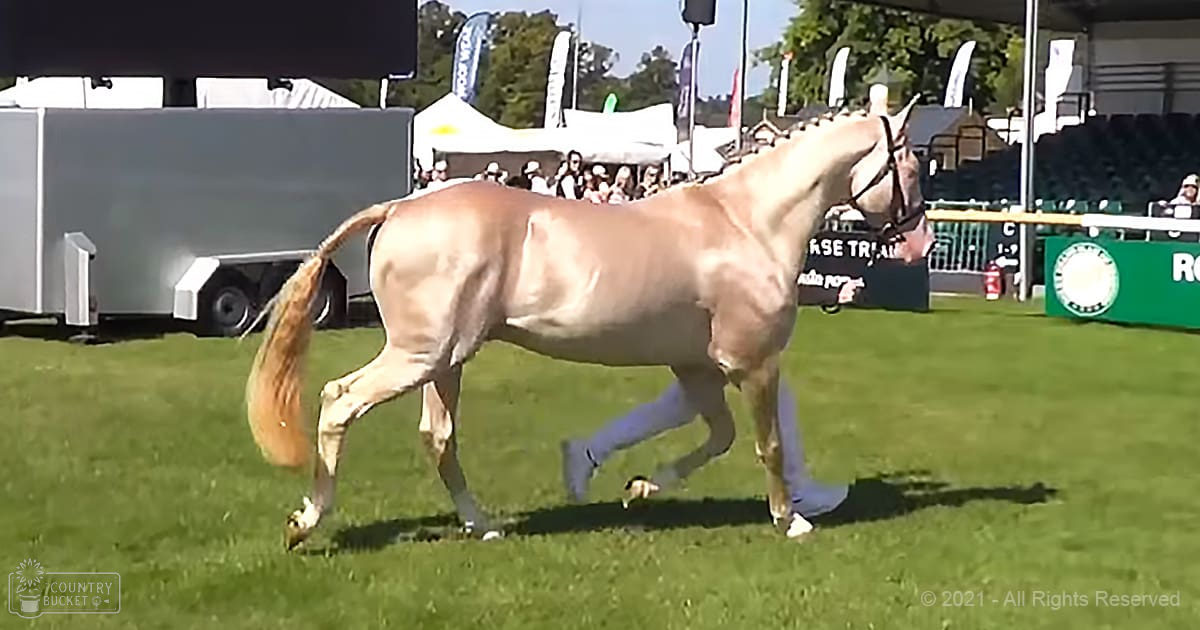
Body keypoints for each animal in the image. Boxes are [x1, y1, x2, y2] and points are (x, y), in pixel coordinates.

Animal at [245, 86, 933, 550]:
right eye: (911, 163)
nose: (917, 239)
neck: (747, 223)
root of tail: (398, 207)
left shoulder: (698, 367)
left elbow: (718, 437)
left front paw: (640, 488)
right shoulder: (754, 362)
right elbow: (766, 442)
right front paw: (791, 519)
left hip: (446, 360)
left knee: (438, 437)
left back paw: (483, 525)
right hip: (418, 355)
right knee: (339, 400)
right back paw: (306, 522)